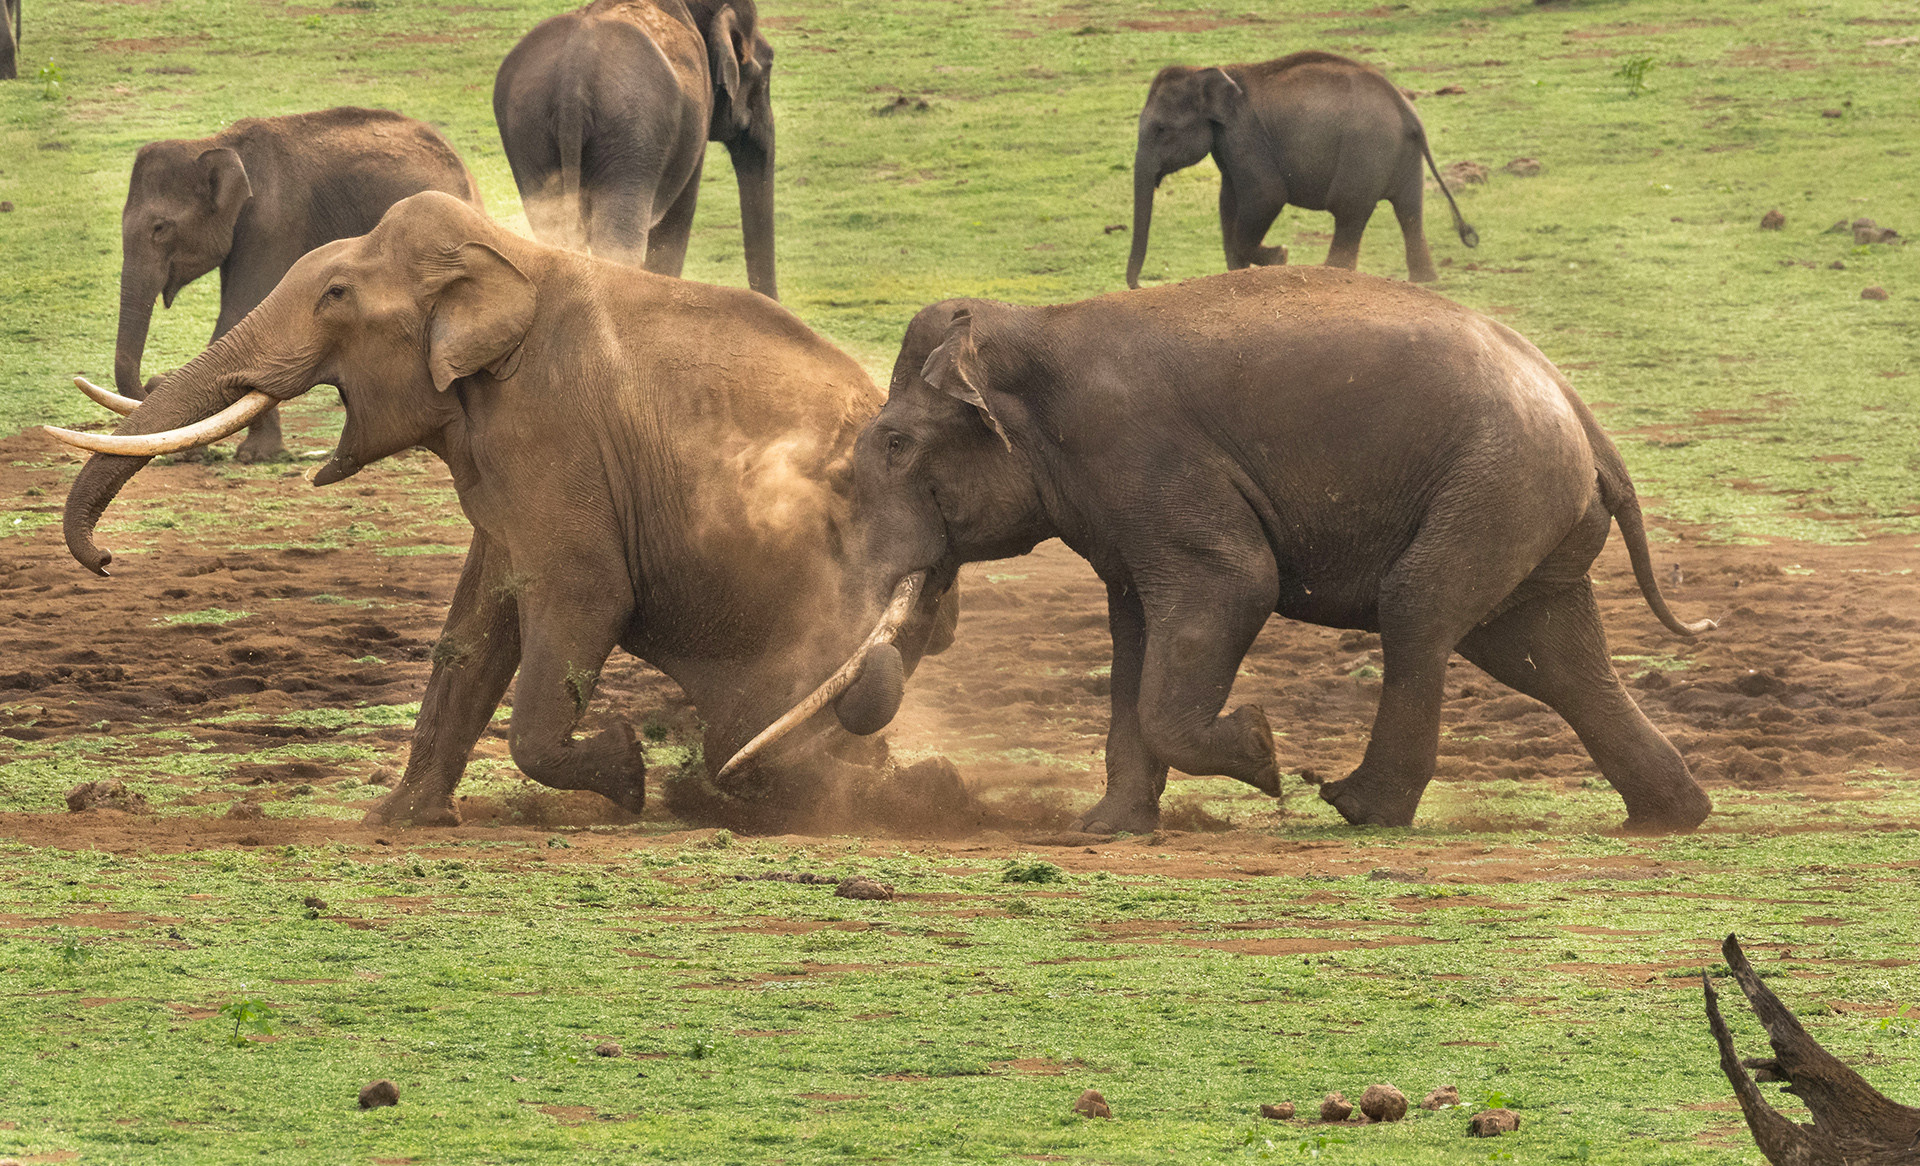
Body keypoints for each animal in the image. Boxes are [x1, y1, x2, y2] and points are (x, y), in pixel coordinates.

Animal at [51, 191, 944, 828]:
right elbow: (478, 621)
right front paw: (399, 821)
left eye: (336, 294)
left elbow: (582, 595)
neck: (504, 261)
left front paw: (626, 775)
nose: (104, 561)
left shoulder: (551, 430)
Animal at [114, 107, 482, 462]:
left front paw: (249, 456)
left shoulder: (273, 223)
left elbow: (239, 315)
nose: (154, 380)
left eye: (160, 228)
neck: (218, 143)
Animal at [730, 266, 1717, 837]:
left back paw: (1354, 807)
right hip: (1523, 507)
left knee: (1424, 614)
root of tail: (1581, 414)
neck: (1031, 329)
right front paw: (1103, 830)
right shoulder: (1118, 512)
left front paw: (1265, 754)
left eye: (895, 444)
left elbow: (1235, 587)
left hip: (1494, 486)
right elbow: (1134, 636)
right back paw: (1668, 818)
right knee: (1546, 651)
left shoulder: (1147, 459)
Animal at [1126, 51, 1477, 289]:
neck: (1209, 71)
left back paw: (1333, 271)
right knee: (1409, 210)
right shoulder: (1228, 145)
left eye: (1160, 129)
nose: (1139, 285)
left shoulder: (1246, 135)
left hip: (1364, 150)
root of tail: (1407, 110)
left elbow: (1266, 196)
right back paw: (1424, 280)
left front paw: (1280, 256)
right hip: (1401, 154)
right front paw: (1237, 273)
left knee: (1349, 209)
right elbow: (1228, 202)